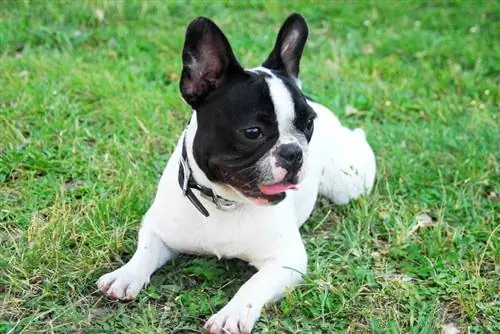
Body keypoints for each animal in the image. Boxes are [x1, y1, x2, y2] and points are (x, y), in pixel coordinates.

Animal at [95, 13, 376, 334]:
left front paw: (233, 313)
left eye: (308, 125)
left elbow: (254, 284)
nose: (294, 152)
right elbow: (144, 252)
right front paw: (125, 275)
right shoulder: (158, 229)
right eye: (252, 132)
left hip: (348, 183)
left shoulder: (287, 260)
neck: (224, 201)